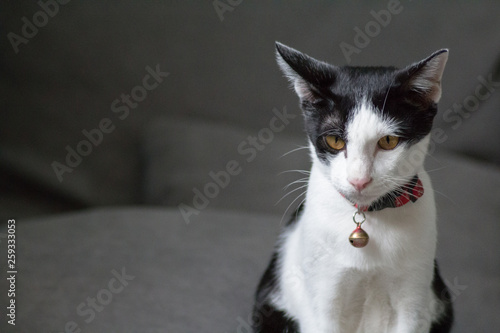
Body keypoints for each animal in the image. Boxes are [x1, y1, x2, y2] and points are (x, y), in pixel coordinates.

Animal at [254, 42, 454, 332]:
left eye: (389, 141)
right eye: (335, 141)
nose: (359, 180)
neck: (369, 217)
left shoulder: (415, 300)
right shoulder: (324, 301)